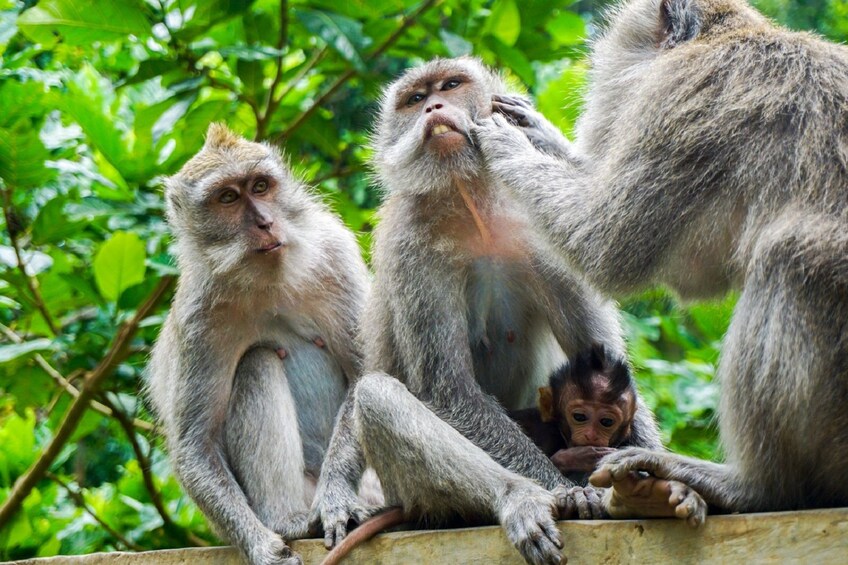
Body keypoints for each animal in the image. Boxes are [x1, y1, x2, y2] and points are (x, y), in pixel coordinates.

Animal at [146, 124, 372, 564]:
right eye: (228, 198)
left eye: (261, 186)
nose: (266, 222)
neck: (264, 280)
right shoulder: (198, 317)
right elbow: (196, 444)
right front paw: (261, 546)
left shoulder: (335, 256)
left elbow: (367, 374)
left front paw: (336, 498)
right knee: (258, 361)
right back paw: (287, 520)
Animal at [308, 56, 684, 564]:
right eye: (415, 98)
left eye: (450, 85)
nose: (434, 107)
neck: (472, 203)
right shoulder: (411, 247)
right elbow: (450, 389)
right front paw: (564, 489)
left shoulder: (539, 227)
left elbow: (599, 355)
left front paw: (654, 471)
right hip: (411, 493)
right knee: (377, 396)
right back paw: (520, 497)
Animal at [474, 0, 848, 520]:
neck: (726, 37)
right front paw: (536, 130)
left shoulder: (677, 106)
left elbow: (607, 244)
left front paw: (507, 144)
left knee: (788, 259)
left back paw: (756, 486)